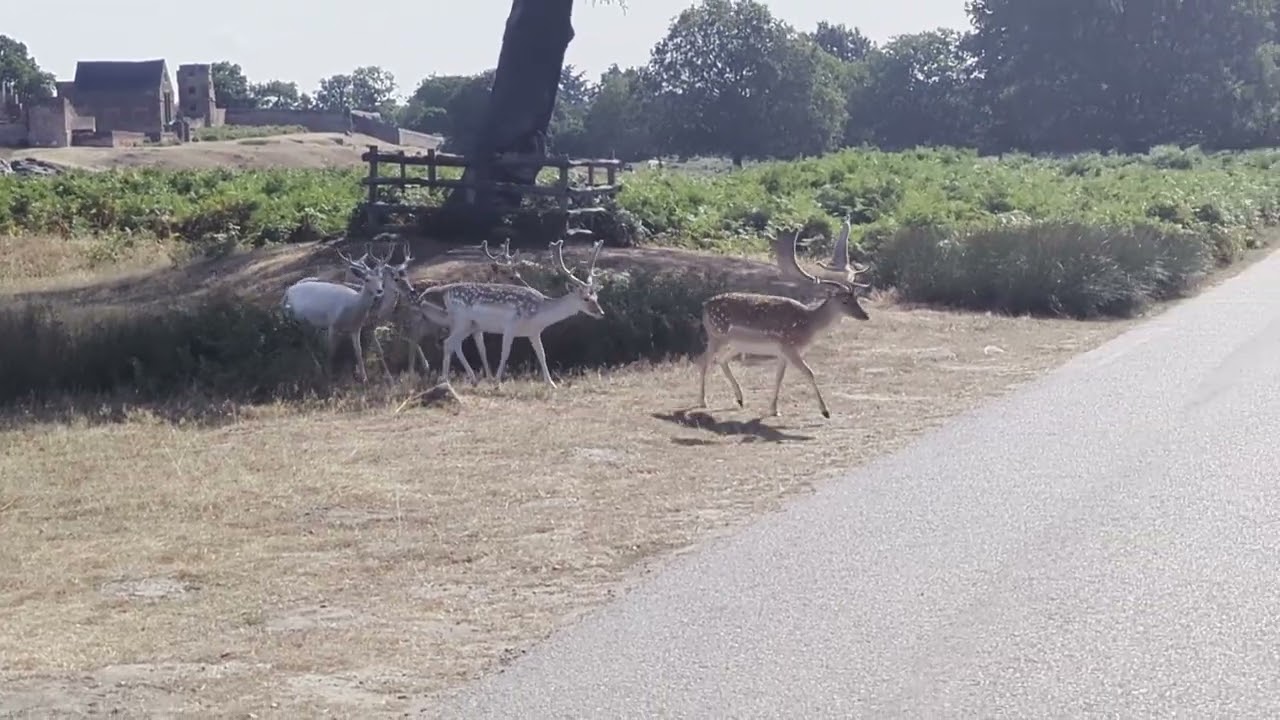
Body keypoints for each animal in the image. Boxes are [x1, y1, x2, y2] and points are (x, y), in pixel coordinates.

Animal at [282, 249, 386, 383]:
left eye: (381, 278)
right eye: (367, 279)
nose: (379, 291)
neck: (353, 306)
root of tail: (287, 292)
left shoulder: (356, 328)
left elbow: (358, 351)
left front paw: (364, 377)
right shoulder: (332, 325)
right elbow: (331, 350)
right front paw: (329, 374)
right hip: (297, 319)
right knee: (305, 343)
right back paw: (318, 368)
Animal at [414, 236, 606, 387]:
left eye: (596, 296)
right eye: (586, 299)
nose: (601, 313)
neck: (539, 312)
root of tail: (445, 291)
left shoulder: (534, 332)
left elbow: (542, 354)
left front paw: (551, 383)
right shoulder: (510, 326)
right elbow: (505, 352)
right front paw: (497, 381)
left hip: (469, 325)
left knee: (454, 344)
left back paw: (469, 379)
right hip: (462, 321)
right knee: (448, 343)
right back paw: (445, 379)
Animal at [695, 217, 870, 419]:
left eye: (856, 297)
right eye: (844, 300)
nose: (865, 315)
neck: (809, 325)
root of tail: (704, 305)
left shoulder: (782, 353)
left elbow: (779, 378)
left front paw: (774, 409)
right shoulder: (789, 347)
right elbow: (810, 373)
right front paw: (825, 411)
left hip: (736, 344)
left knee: (721, 360)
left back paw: (740, 399)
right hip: (716, 335)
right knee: (704, 360)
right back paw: (703, 401)